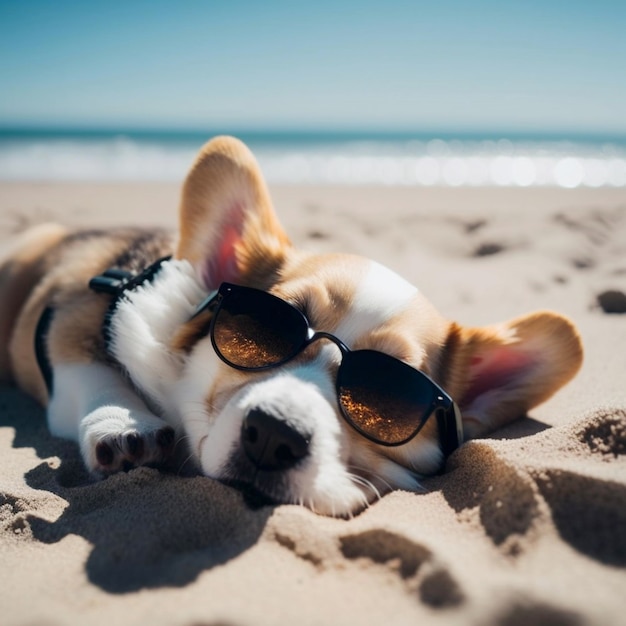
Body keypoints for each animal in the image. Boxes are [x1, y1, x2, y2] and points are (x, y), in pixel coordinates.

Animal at [0, 139, 584, 516]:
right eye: (259, 331)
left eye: (387, 397)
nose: (274, 435)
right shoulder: (70, 313)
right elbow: (91, 373)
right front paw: (125, 426)